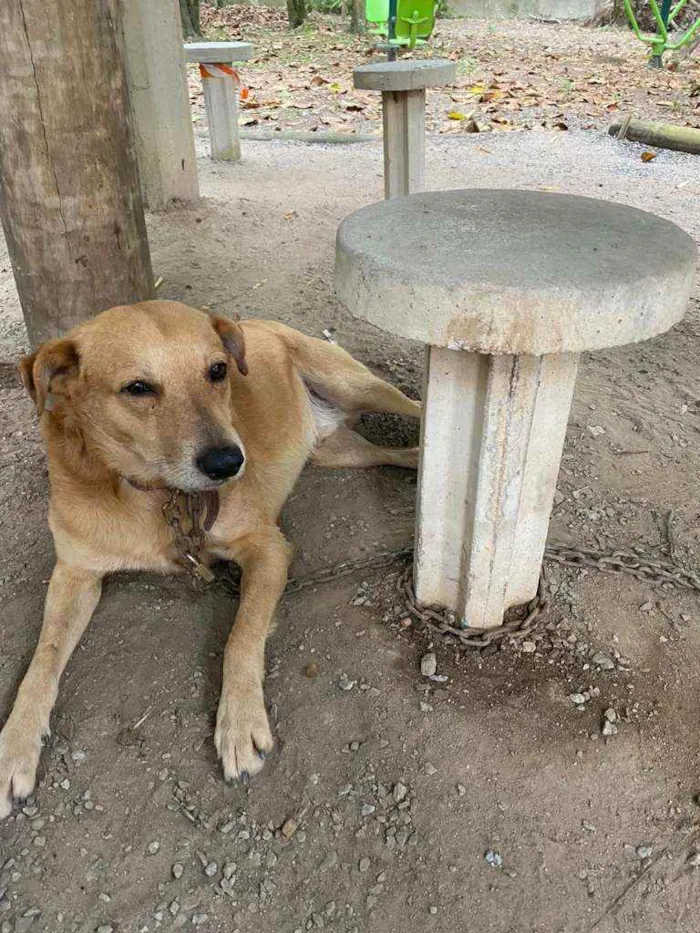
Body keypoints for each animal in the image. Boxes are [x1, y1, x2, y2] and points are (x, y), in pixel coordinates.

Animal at [0, 300, 422, 816]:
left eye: (218, 371)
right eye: (137, 388)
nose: (229, 463)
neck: (157, 495)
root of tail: (254, 323)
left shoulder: (267, 547)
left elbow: (241, 636)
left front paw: (239, 724)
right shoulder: (74, 573)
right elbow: (42, 661)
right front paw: (13, 747)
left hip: (357, 385)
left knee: (423, 413)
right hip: (338, 454)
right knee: (406, 453)